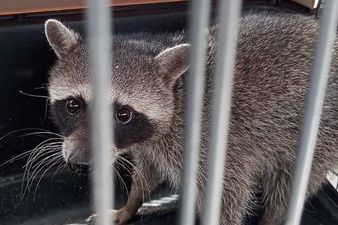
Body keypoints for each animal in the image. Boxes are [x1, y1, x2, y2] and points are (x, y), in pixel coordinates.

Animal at [45, 9, 338, 225]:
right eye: (73, 105)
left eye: (123, 114)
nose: (80, 163)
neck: (177, 94)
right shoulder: (150, 144)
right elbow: (146, 173)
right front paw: (130, 205)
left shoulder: (212, 145)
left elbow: (228, 195)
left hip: (320, 132)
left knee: (288, 186)